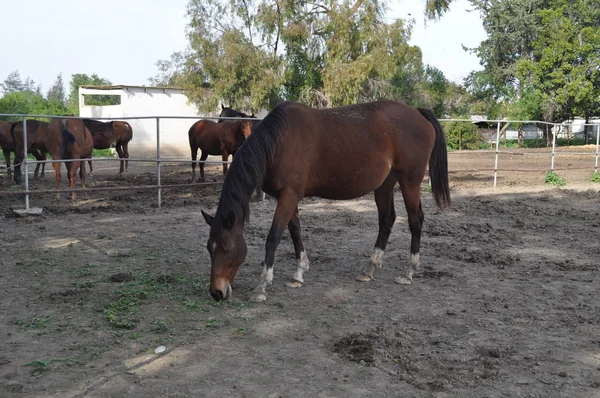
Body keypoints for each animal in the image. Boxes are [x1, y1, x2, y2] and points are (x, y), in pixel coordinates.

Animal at [202, 100, 450, 302]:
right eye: (208, 248)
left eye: (226, 248)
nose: (217, 292)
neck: (279, 141)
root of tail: (417, 112)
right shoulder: (288, 196)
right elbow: (295, 231)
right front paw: (299, 273)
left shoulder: (289, 195)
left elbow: (274, 237)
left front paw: (262, 286)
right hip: (385, 185)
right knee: (387, 220)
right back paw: (369, 269)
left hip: (410, 182)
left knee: (415, 221)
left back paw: (408, 272)